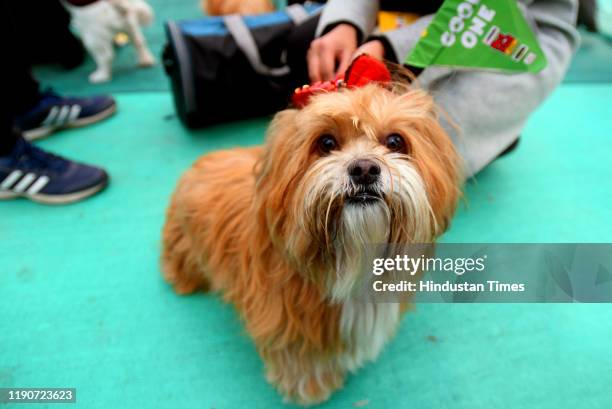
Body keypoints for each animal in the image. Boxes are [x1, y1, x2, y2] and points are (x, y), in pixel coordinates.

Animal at [160, 55, 462, 404]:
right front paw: (312, 389)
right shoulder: (287, 326)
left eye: (395, 141)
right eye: (326, 143)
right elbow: (302, 362)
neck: (351, 259)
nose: (364, 169)